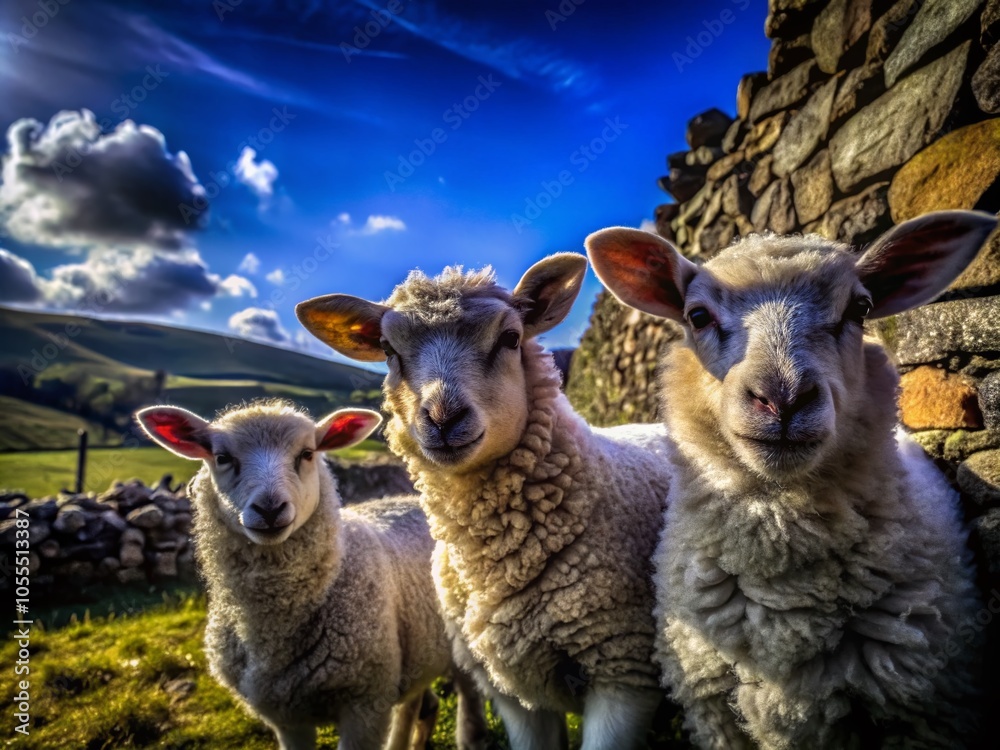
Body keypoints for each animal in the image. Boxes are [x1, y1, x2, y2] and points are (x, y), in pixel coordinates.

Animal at [136, 400, 487, 750]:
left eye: (306, 453)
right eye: (222, 457)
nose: (270, 509)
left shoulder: (366, 705)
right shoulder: (286, 718)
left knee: (469, 697)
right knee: (417, 703)